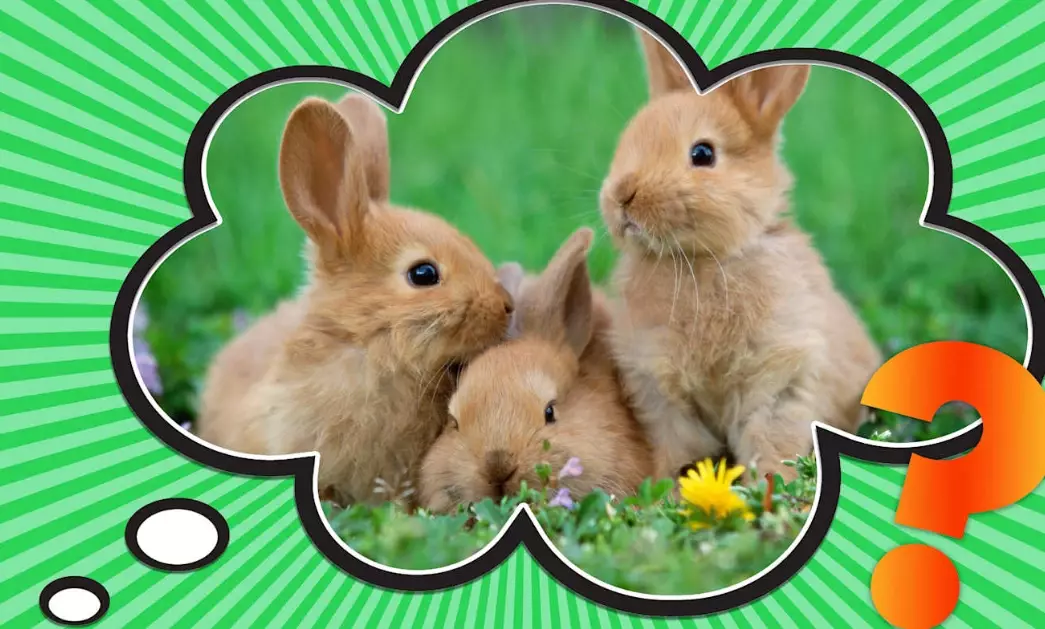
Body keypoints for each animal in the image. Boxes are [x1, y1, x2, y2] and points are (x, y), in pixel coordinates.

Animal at [597, 30, 882, 483]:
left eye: (702, 154)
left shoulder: (780, 377)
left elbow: (770, 441)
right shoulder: (658, 391)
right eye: (629, 140)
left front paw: (769, 485)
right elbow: (680, 446)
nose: (622, 195)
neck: (700, 260)